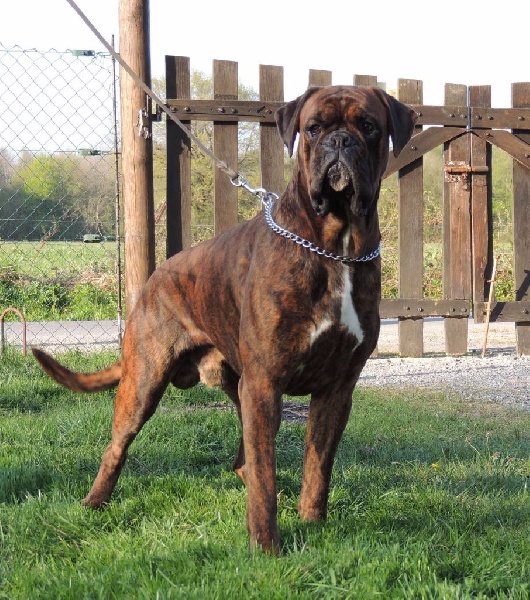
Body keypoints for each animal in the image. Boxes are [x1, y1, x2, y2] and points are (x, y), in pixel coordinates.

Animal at [33, 84, 414, 552]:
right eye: (314, 128)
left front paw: (311, 522)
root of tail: (155, 276)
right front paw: (266, 546)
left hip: (239, 386)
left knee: (244, 457)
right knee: (118, 447)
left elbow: (317, 466)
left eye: (368, 126)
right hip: (145, 382)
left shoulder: (336, 389)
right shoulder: (266, 382)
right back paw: (94, 502)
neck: (336, 245)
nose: (340, 142)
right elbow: (267, 477)